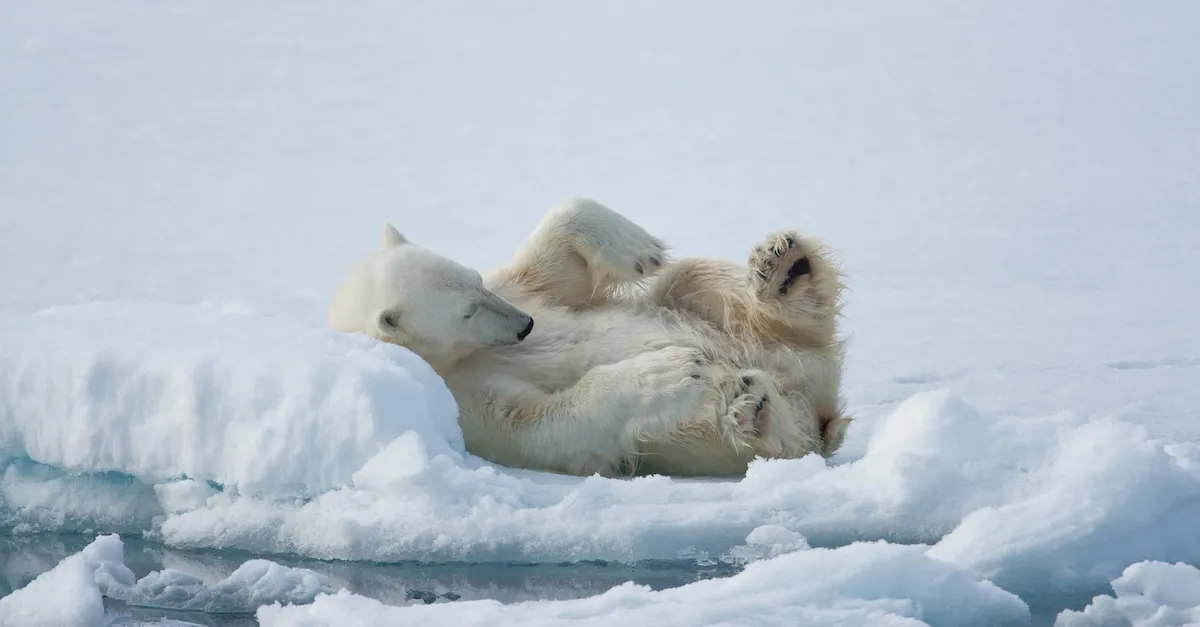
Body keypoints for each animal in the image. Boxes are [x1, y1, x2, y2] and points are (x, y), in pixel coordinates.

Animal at [328, 198, 850, 477]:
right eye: (466, 312)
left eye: (474, 281)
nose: (525, 327)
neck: (461, 356)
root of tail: (817, 406)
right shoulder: (464, 408)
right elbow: (549, 427)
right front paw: (672, 373)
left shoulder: (519, 293)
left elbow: (552, 268)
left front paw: (638, 247)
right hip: (703, 437)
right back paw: (751, 408)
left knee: (691, 281)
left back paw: (785, 268)